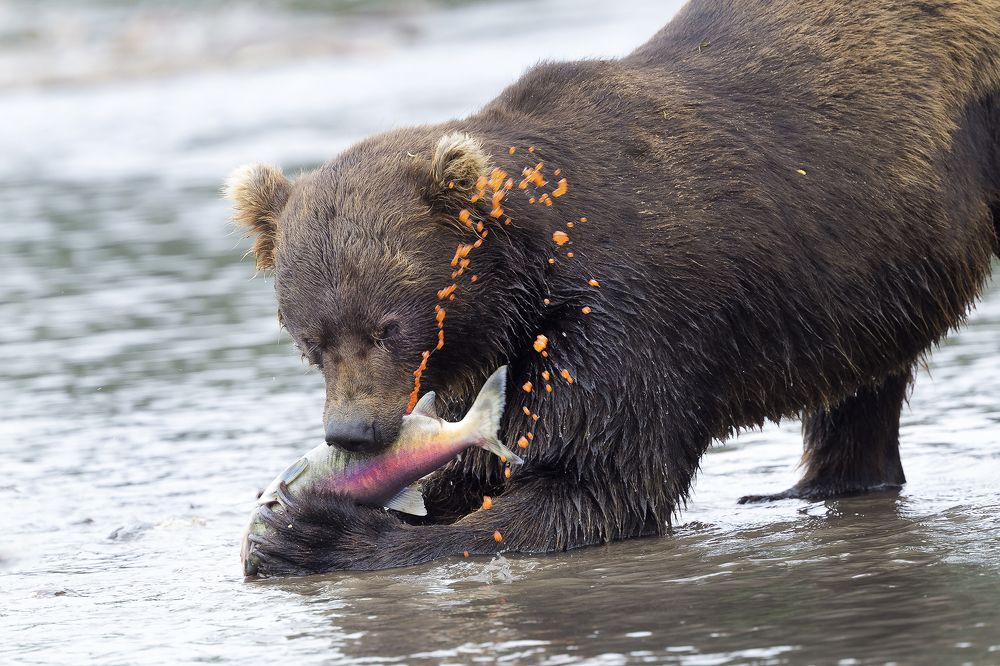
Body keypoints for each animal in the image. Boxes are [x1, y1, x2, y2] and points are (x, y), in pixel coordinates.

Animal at [227, 0, 1000, 576]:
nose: (352, 432)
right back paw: (812, 485)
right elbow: (483, 465)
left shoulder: (624, 308)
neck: (528, 279)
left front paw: (314, 533)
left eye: (388, 326)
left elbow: (596, 483)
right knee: (864, 381)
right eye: (309, 339)